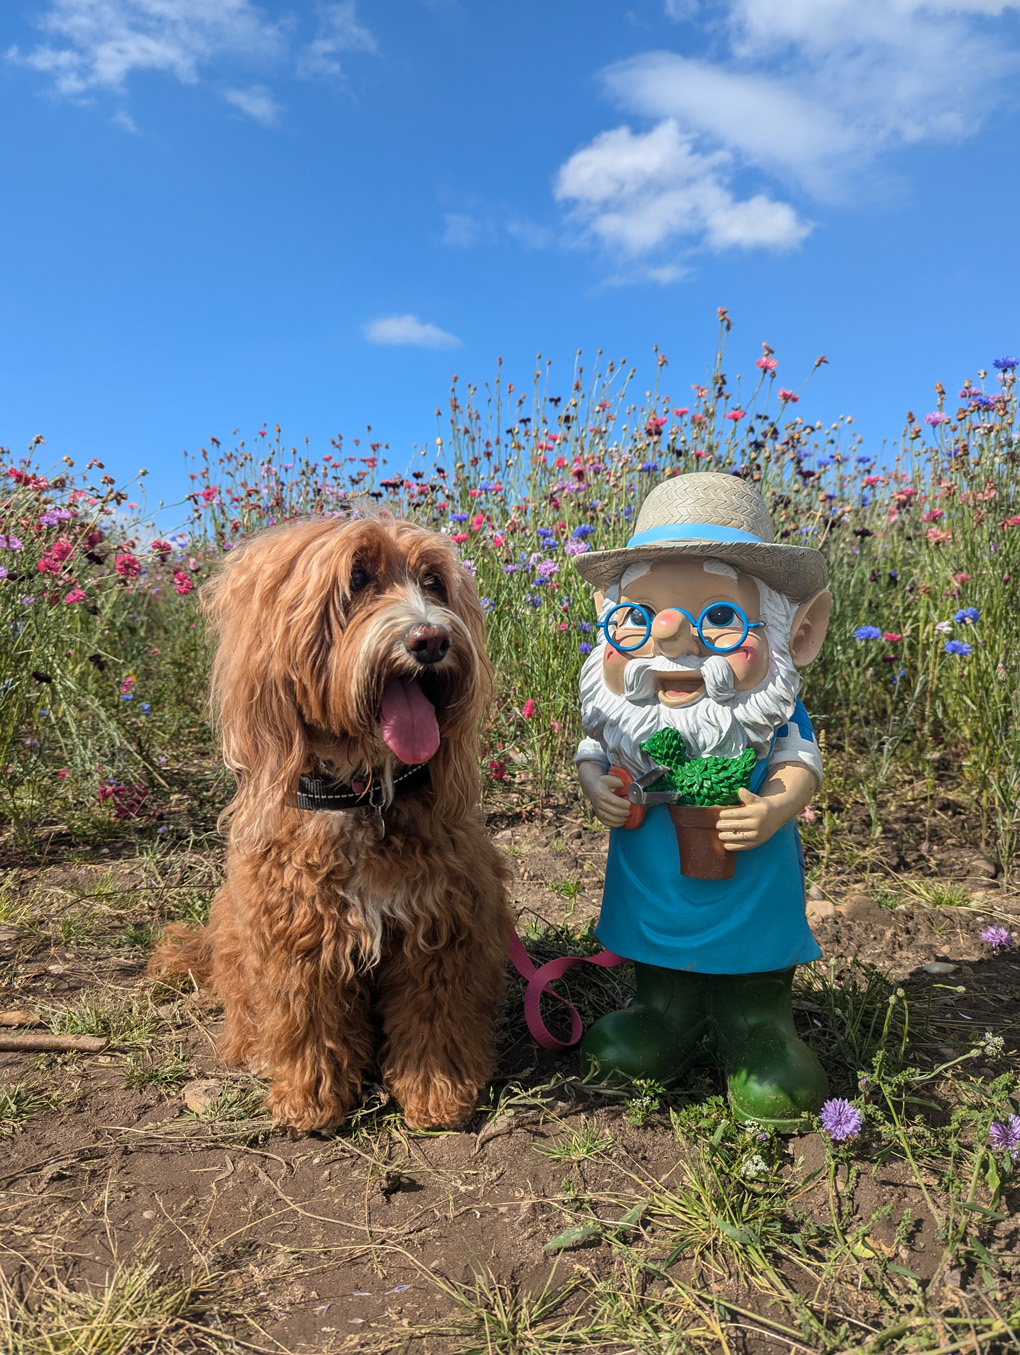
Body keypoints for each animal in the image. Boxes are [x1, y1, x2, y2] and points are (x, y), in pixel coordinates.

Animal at [149, 517, 509, 1132]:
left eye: (433, 581)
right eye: (357, 579)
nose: (431, 640)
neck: (364, 795)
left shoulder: (439, 929)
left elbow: (434, 1018)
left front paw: (437, 1093)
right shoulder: (297, 937)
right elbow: (307, 1020)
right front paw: (311, 1098)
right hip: (236, 936)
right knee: (247, 1009)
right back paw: (253, 1047)